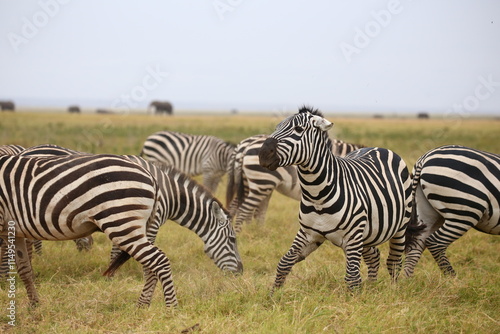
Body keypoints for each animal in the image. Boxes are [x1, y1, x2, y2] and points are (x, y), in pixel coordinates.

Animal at [14, 145, 244, 306]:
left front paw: (112, 277)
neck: (167, 192)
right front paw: (139, 298)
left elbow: (121, 253)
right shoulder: (147, 222)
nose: (240, 273)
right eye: (232, 239)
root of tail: (28, 149)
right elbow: (145, 262)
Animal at [227, 135, 364, 232]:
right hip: (262, 182)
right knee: (244, 210)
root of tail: (245, 146)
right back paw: (241, 234)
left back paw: (255, 232)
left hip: (251, 183)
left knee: (245, 208)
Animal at [256, 107, 412, 292]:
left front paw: (356, 299)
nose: (263, 154)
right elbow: (284, 262)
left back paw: (393, 290)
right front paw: (274, 294)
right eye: (276, 127)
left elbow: (352, 278)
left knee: (394, 262)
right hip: (368, 234)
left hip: (399, 226)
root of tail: (378, 148)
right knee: (374, 256)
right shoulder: (308, 233)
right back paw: (372, 287)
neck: (317, 195)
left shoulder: (353, 237)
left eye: (299, 129)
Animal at [404, 144, 498, 276]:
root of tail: (424, 158)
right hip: (465, 211)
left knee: (417, 243)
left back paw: (406, 280)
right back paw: (452, 279)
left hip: (426, 210)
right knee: (435, 242)